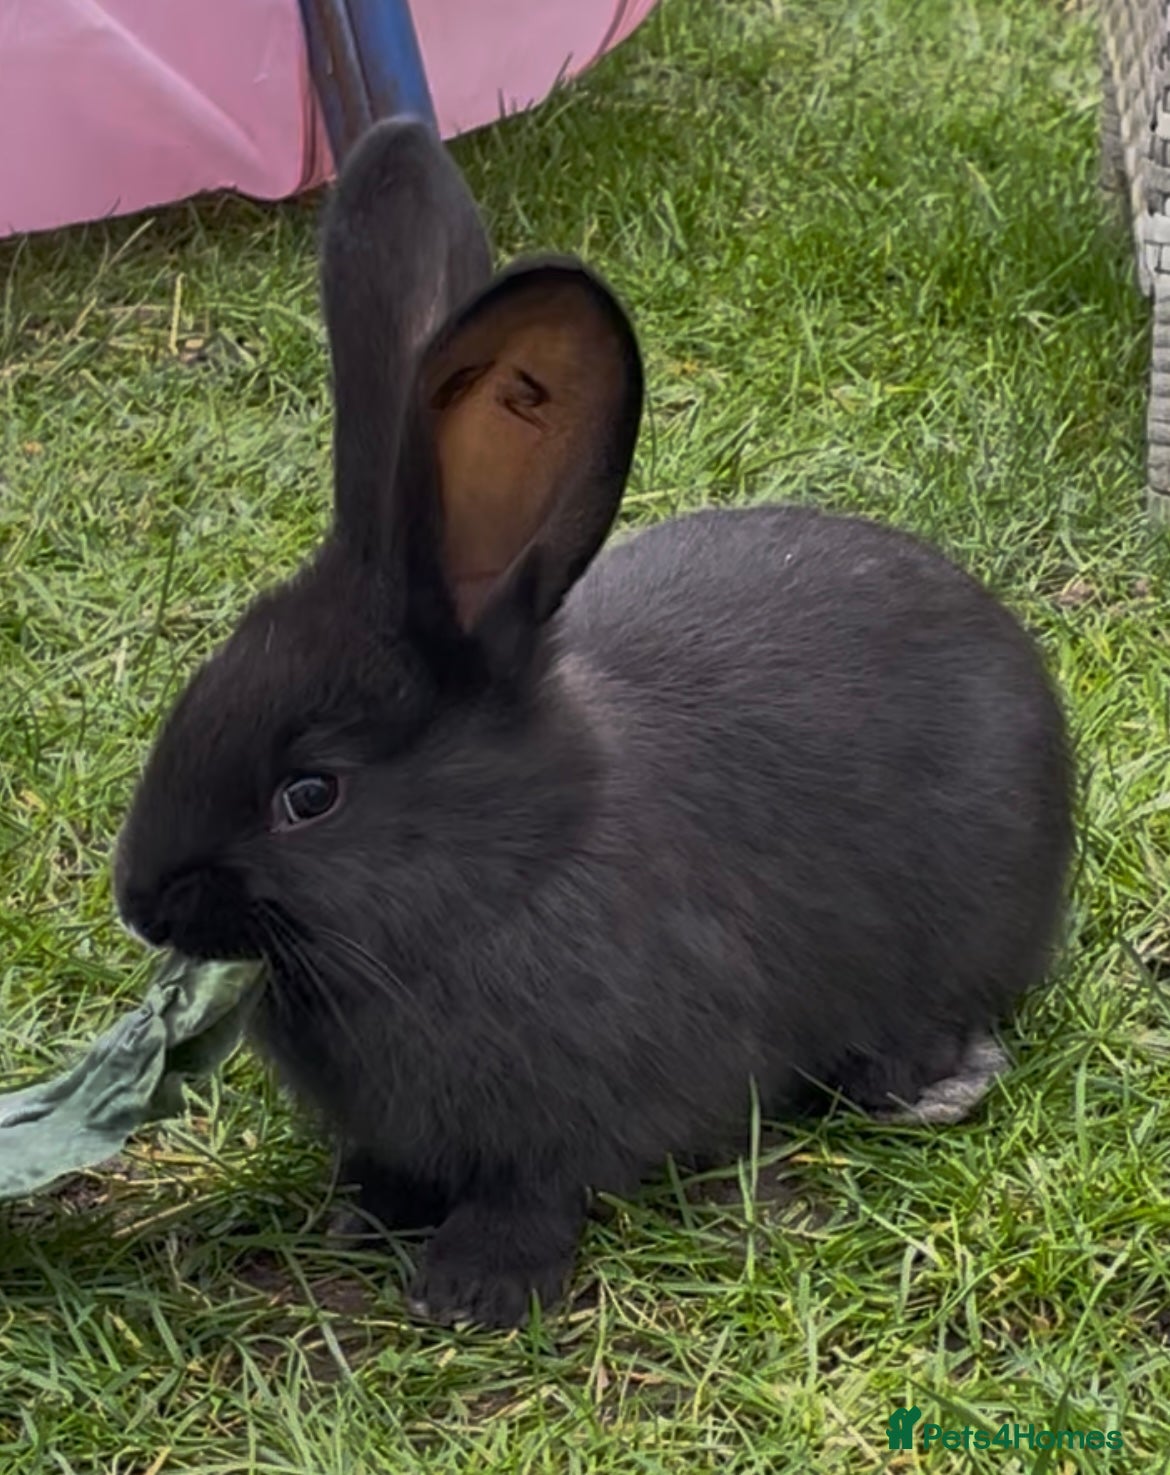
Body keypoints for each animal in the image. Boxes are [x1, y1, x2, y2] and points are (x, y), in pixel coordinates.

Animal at [113, 118, 1074, 1329]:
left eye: (310, 793)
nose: (139, 901)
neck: (508, 872)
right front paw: (365, 1214)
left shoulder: (575, 1120)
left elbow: (535, 1190)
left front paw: (472, 1291)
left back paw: (930, 1079)